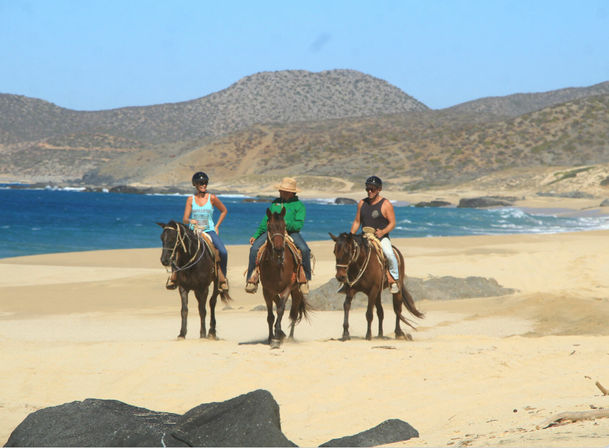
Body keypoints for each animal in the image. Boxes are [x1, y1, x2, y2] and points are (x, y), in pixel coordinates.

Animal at [258, 208, 312, 344]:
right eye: (269, 227)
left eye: (284, 226)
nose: (278, 249)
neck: (276, 266)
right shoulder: (267, 290)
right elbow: (271, 316)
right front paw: (271, 337)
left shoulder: (287, 288)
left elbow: (281, 310)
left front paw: (277, 335)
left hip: (297, 290)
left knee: (294, 313)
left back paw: (290, 337)